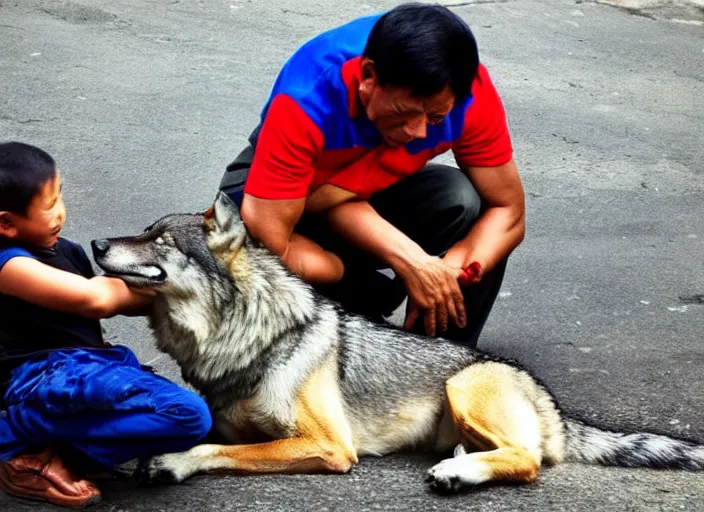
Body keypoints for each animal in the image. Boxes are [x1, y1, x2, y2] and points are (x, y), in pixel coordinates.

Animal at [91, 192, 704, 492]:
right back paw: (461, 464)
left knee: (529, 460)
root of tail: (549, 398)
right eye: (143, 231)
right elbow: (210, 435)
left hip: (464, 386)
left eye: (160, 240)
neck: (248, 337)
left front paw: (171, 461)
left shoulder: (329, 445)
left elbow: (213, 450)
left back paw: (458, 474)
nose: (95, 243)